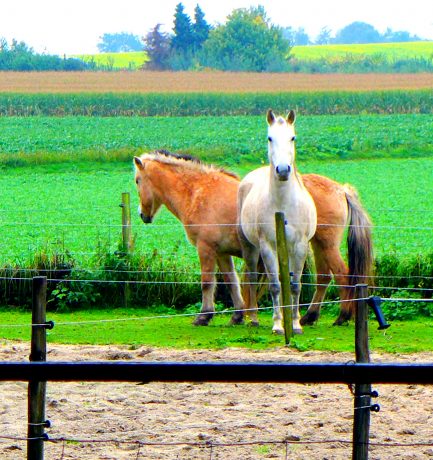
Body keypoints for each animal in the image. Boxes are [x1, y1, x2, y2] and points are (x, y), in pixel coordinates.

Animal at [132, 149, 372, 326]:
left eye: (137, 180)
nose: (142, 214)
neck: (199, 192)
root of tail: (341, 189)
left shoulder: (206, 248)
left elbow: (207, 282)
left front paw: (204, 316)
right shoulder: (222, 253)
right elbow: (232, 282)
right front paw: (238, 315)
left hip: (326, 245)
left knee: (343, 275)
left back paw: (342, 317)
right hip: (316, 245)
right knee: (323, 278)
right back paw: (309, 317)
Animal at [238, 110, 316, 334]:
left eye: (293, 137)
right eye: (269, 138)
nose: (282, 170)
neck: (282, 205)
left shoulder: (300, 246)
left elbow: (295, 285)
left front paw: (296, 324)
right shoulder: (267, 247)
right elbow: (274, 286)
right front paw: (277, 325)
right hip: (250, 247)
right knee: (253, 278)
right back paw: (254, 318)